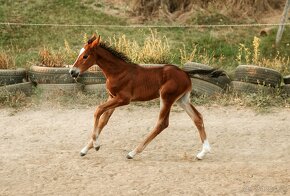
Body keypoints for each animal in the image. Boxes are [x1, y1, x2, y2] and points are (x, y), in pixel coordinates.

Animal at [70, 34, 220, 160]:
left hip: (166, 97)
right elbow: (103, 121)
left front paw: (96, 145)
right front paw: (85, 150)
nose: (72, 72)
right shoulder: (112, 97)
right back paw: (203, 153)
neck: (118, 72)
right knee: (197, 118)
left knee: (162, 123)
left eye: (85, 56)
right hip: (182, 99)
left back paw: (133, 152)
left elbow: (98, 110)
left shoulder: (123, 99)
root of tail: (185, 73)